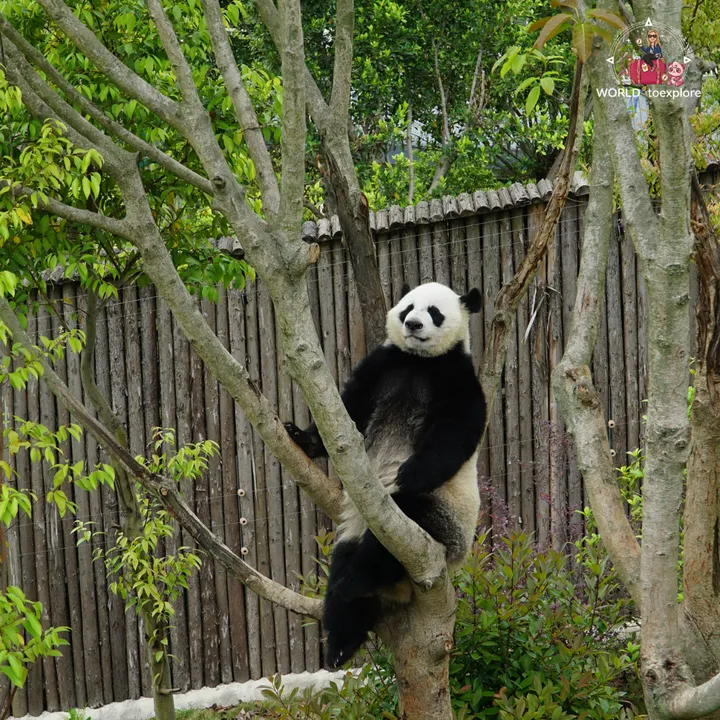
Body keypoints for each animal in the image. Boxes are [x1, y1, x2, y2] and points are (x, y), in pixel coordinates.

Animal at [284, 281, 486, 668]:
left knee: (393, 538)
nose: (413, 324)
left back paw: (357, 580)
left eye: (435, 312)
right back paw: (341, 643)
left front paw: (408, 473)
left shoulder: (458, 378)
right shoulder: (382, 366)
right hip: (357, 529)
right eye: (408, 307)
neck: (419, 361)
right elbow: (349, 409)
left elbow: (457, 431)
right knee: (343, 568)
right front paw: (302, 436)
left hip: (442, 524)